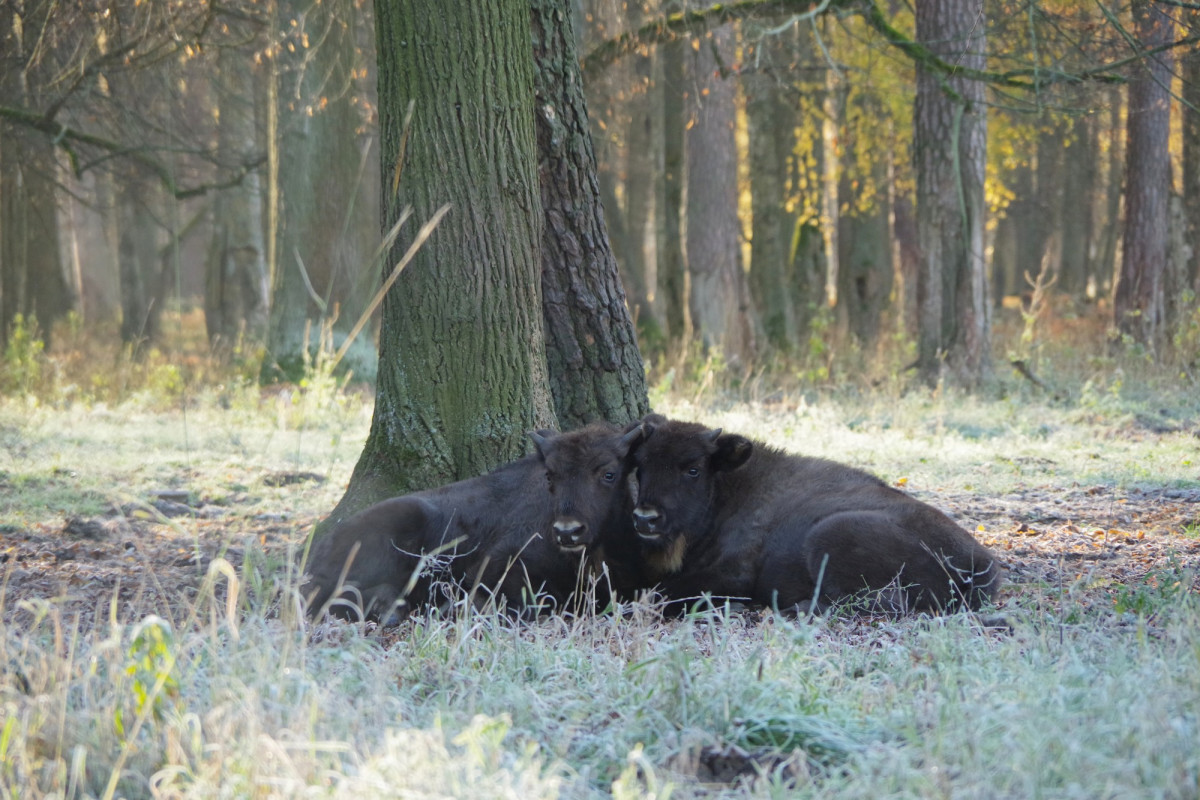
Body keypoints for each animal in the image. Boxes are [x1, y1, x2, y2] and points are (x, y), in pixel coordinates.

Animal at [628, 412, 1003, 614]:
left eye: (692, 469)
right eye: (641, 466)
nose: (645, 517)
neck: (731, 487)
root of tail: (980, 561)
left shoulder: (734, 574)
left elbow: (660, 592)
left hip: (830, 533)